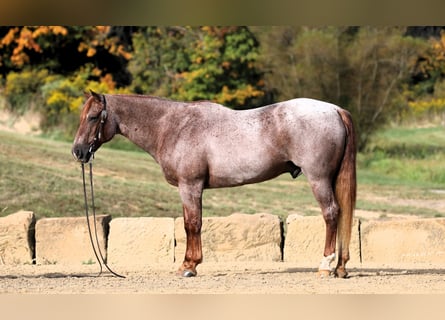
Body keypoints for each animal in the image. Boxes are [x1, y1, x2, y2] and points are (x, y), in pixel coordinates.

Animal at [73, 90, 358, 278]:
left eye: (94, 116)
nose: (78, 152)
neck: (174, 127)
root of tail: (335, 109)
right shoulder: (189, 188)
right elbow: (190, 224)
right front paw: (189, 263)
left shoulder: (190, 186)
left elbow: (192, 224)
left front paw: (189, 266)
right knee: (342, 214)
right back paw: (341, 267)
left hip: (318, 179)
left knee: (331, 214)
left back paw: (325, 266)